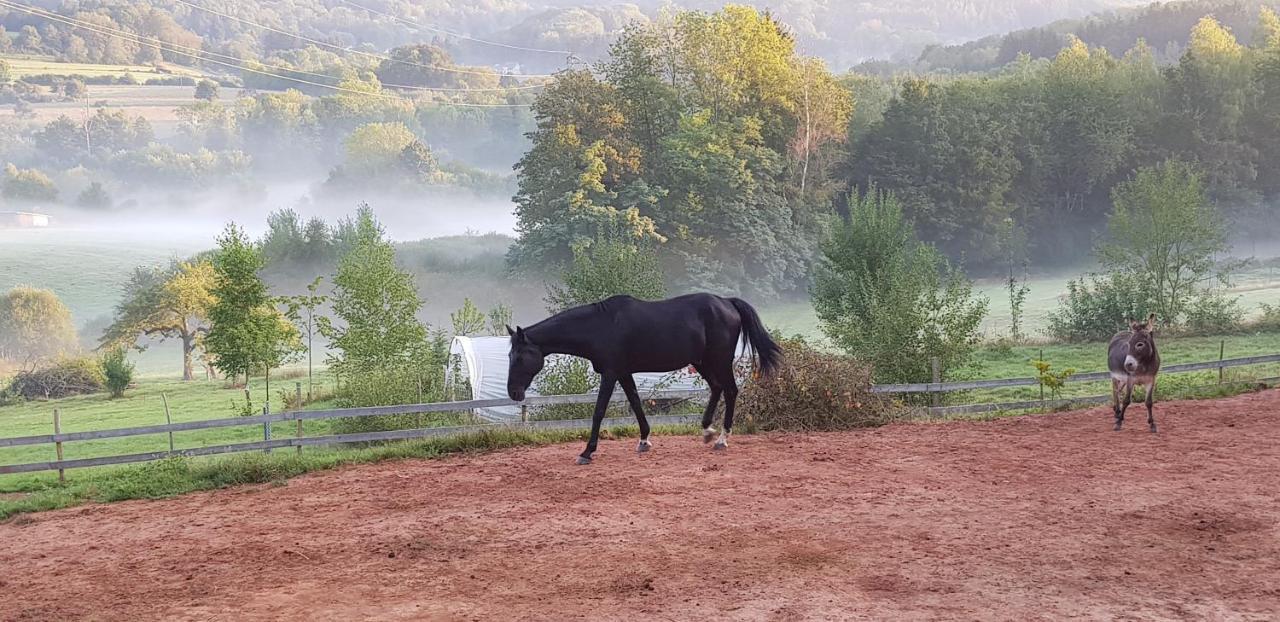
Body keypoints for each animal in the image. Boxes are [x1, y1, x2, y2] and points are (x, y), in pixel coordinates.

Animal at [506, 294, 778, 463]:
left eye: (519, 357)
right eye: (509, 355)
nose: (513, 393)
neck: (600, 326)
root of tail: (727, 303)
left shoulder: (610, 374)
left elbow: (599, 411)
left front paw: (587, 452)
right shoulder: (623, 373)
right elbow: (636, 404)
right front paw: (644, 441)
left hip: (719, 360)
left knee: (730, 390)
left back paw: (722, 439)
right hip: (702, 362)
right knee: (717, 388)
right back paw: (707, 431)